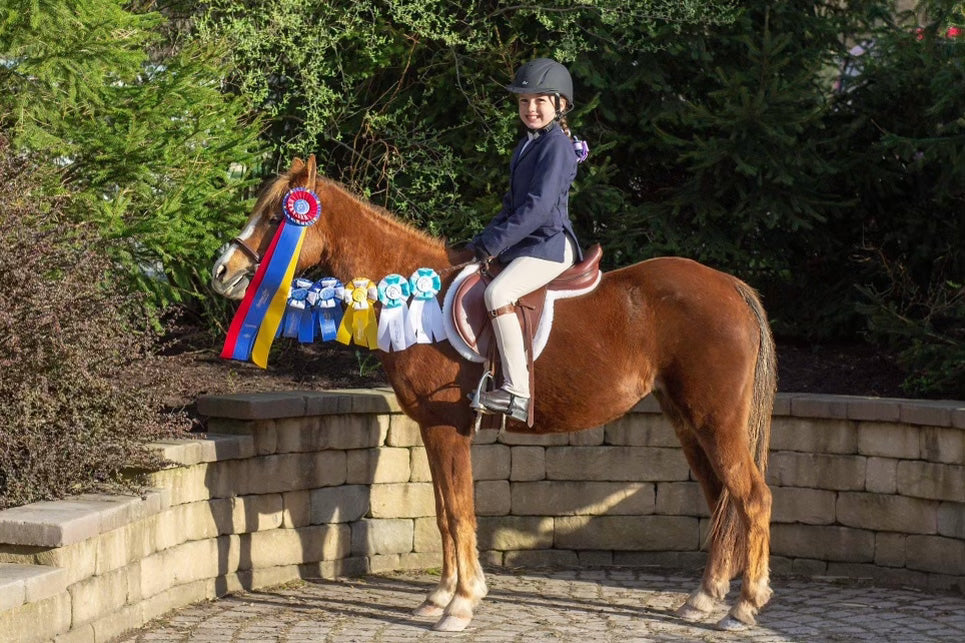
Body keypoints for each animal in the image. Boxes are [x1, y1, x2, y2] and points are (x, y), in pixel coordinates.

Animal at [209, 157, 776, 632]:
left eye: (275, 217)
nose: (221, 273)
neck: (416, 294)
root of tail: (730, 286)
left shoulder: (447, 428)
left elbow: (459, 511)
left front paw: (459, 606)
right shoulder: (432, 429)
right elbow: (443, 512)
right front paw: (442, 597)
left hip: (716, 422)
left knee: (752, 497)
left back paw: (745, 606)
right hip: (688, 423)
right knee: (722, 499)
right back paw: (704, 599)